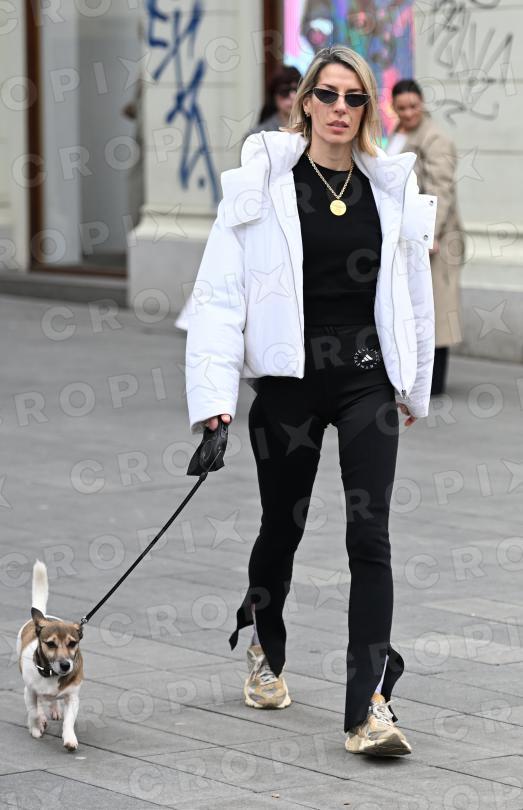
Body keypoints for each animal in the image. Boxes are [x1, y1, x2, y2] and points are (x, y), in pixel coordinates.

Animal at [16, 560, 84, 750]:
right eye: (51, 644)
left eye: (72, 643)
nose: (65, 665)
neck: (52, 674)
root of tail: (44, 617)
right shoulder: (29, 691)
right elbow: (33, 712)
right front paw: (37, 727)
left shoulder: (72, 698)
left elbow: (69, 720)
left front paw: (69, 739)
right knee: (39, 704)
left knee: (53, 701)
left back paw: (54, 709)